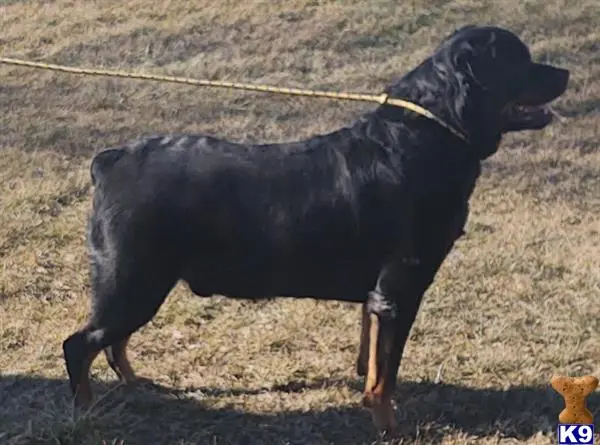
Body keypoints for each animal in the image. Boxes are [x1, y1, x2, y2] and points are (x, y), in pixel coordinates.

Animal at [63, 25, 568, 434]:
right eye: (518, 59)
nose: (565, 73)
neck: (426, 134)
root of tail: (109, 160)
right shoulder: (400, 288)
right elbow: (385, 376)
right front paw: (390, 429)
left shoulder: (378, 296)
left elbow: (372, 362)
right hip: (134, 280)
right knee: (80, 345)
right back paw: (86, 412)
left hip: (139, 283)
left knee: (112, 343)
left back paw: (137, 384)